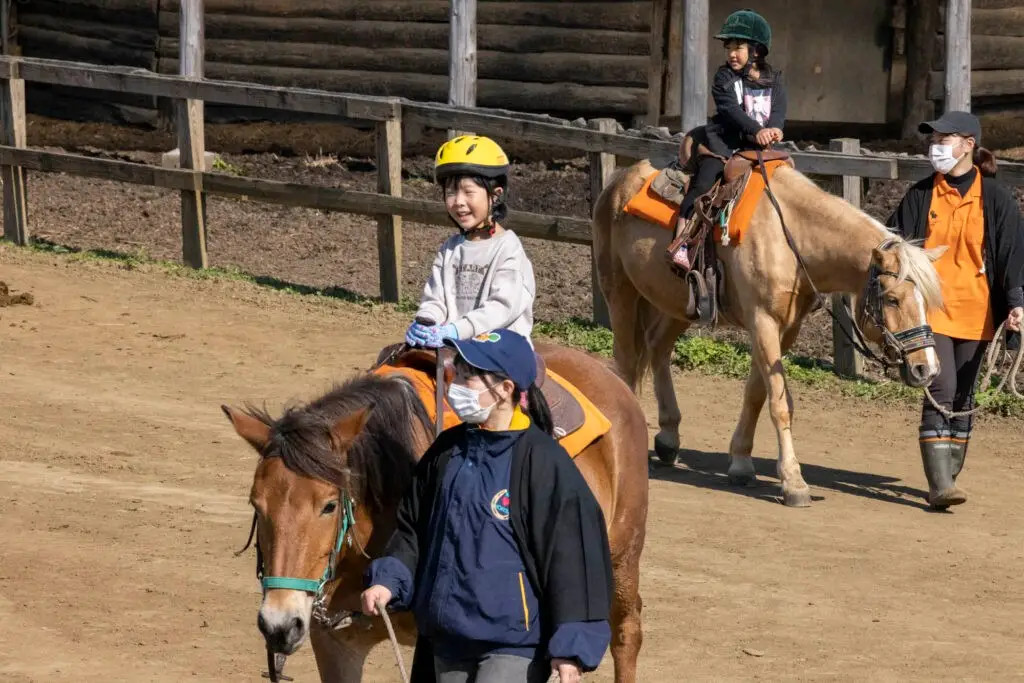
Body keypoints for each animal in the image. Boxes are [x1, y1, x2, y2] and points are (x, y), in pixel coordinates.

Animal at [223, 344, 647, 683]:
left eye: (328, 505)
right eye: (256, 504)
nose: (279, 625)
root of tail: (604, 371)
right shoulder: (335, 643)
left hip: (622, 558)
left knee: (627, 632)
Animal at [593, 160, 942, 507]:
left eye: (926, 300)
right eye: (893, 299)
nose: (926, 369)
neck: (791, 236)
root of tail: (619, 180)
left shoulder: (786, 328)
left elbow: (756, 393)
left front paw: (741, 463)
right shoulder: (762, 321)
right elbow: (779, 403)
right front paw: (793, 482)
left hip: (677, 304)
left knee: (657, 347)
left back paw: (668, 438)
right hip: (620, 291)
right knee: (626, 362)